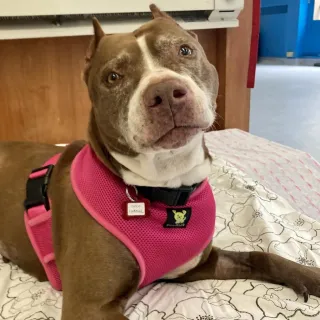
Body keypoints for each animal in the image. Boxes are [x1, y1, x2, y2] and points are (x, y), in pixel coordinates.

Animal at [0, 5, 320, 320]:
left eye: (185, 50)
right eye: (113, 77)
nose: (165, 92)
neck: (169, 187)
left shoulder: (199, 265)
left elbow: (262, 256)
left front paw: (310, 276)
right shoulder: (89, 305)